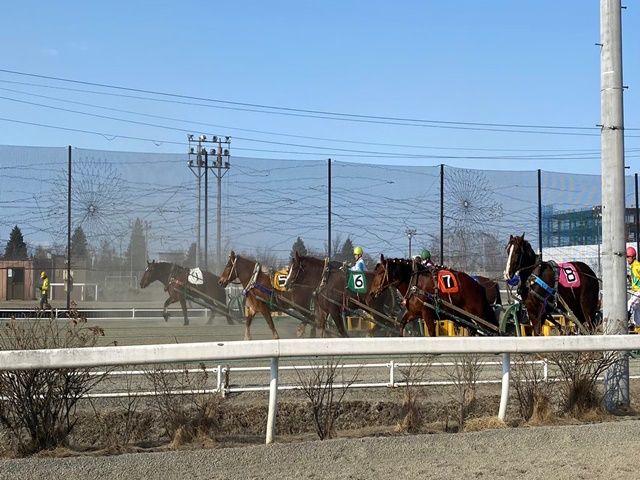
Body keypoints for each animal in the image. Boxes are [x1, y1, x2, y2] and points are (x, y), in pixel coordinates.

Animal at [368, 256, 499, 336]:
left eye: (380, 272)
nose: (371, 293)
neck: (415, 283)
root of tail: (479, 285)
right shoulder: (414, 312)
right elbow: (402, 324)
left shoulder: (427, 313)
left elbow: (431, 333)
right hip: (463, 316)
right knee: (474, 330)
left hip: (478, 313)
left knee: (491, 329)